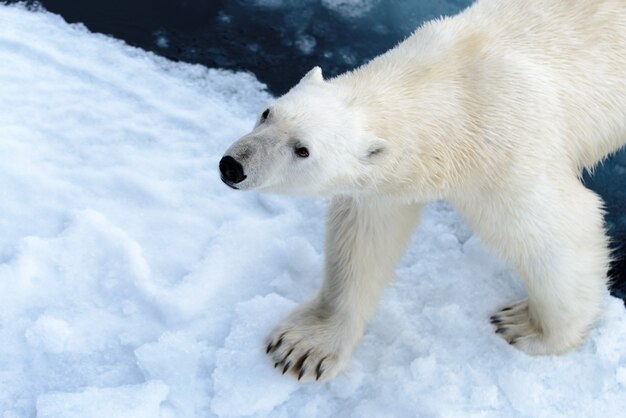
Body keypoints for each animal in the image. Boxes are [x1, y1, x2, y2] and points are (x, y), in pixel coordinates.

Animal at [218, 0, 624, 382]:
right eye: (267, 113)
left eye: (302, 149)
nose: (232, 166)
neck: (455, 90)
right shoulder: (388, 182)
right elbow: (364, 239)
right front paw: (303, 345)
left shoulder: (508, 149)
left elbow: (558, 231)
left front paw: (527, 327)